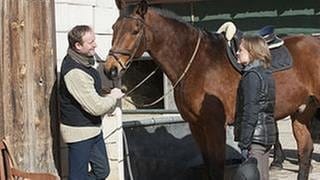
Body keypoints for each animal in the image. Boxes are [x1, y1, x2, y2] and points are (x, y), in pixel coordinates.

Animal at [103, 2, 320, 179]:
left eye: (135, 30)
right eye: (114, 28)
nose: (110, 69)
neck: (198, 63)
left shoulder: (215, 126)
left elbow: (217, 168)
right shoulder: (196, 125)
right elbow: (208, 166)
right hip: (301, 113)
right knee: (305, 151)